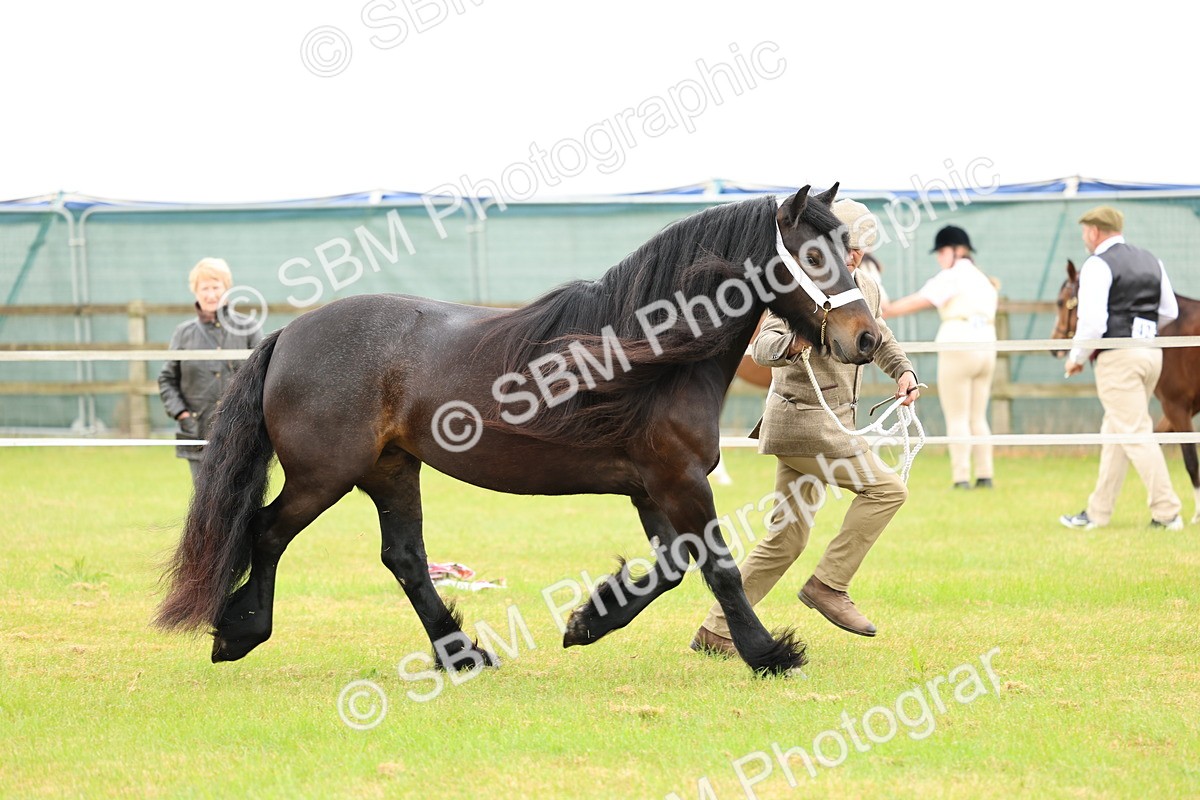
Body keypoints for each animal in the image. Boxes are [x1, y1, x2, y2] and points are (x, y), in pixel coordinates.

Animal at [155, 184, 883, 677]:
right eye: (812, 255)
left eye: (845, 251)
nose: (868, 339)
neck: (652, 355)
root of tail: (287, 335)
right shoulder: (677, 482)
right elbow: (721, 569)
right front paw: (770, 653)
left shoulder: (652, 488)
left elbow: (673, 569)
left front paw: (588, 621)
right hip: (324, 475)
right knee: (265, 531)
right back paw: (239, 632)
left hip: (391, 469)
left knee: (404, 558)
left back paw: (461, 654)